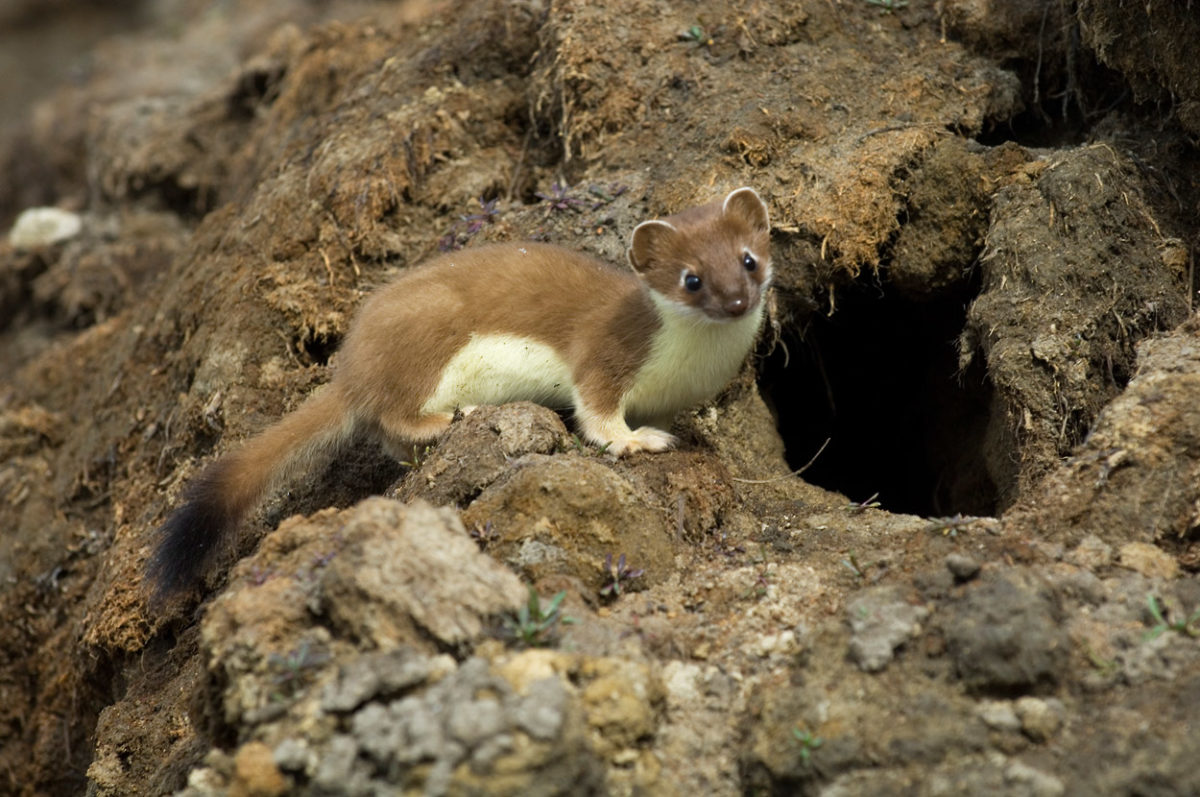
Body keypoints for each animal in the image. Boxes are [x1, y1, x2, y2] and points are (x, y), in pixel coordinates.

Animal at [147, 188, 768, 597]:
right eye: (691, 278)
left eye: (748, 259)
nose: (738, 300)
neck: (691, 365)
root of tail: (352, 363)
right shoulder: (604, 353)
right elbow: (596, 411)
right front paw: (638, 441)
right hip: (428, 335)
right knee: (393, 414)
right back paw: (452, 416)